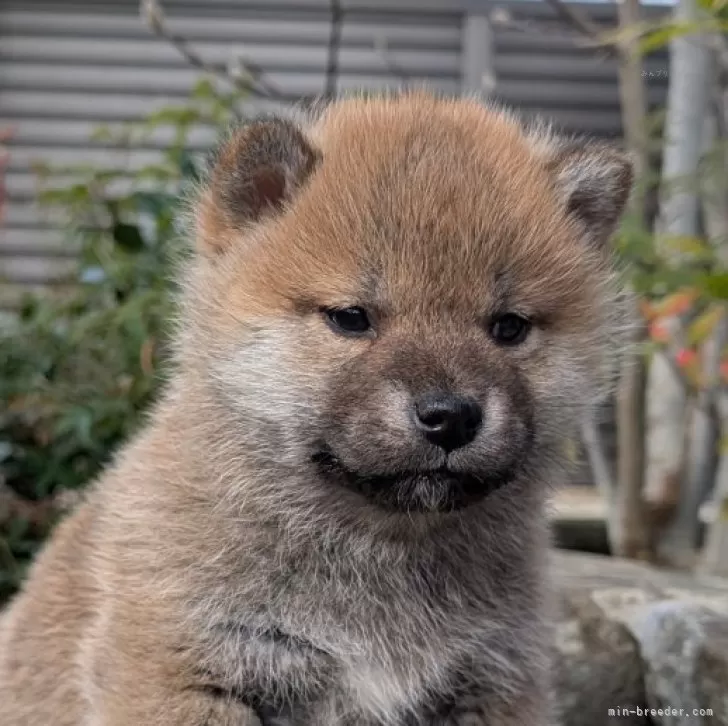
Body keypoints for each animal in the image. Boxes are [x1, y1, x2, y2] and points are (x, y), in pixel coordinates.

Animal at [0, 92, 632, 726]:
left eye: (508, 328)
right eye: (351, 318)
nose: (451, 416)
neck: (381, 555)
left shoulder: (494, 682)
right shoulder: (189, 667)